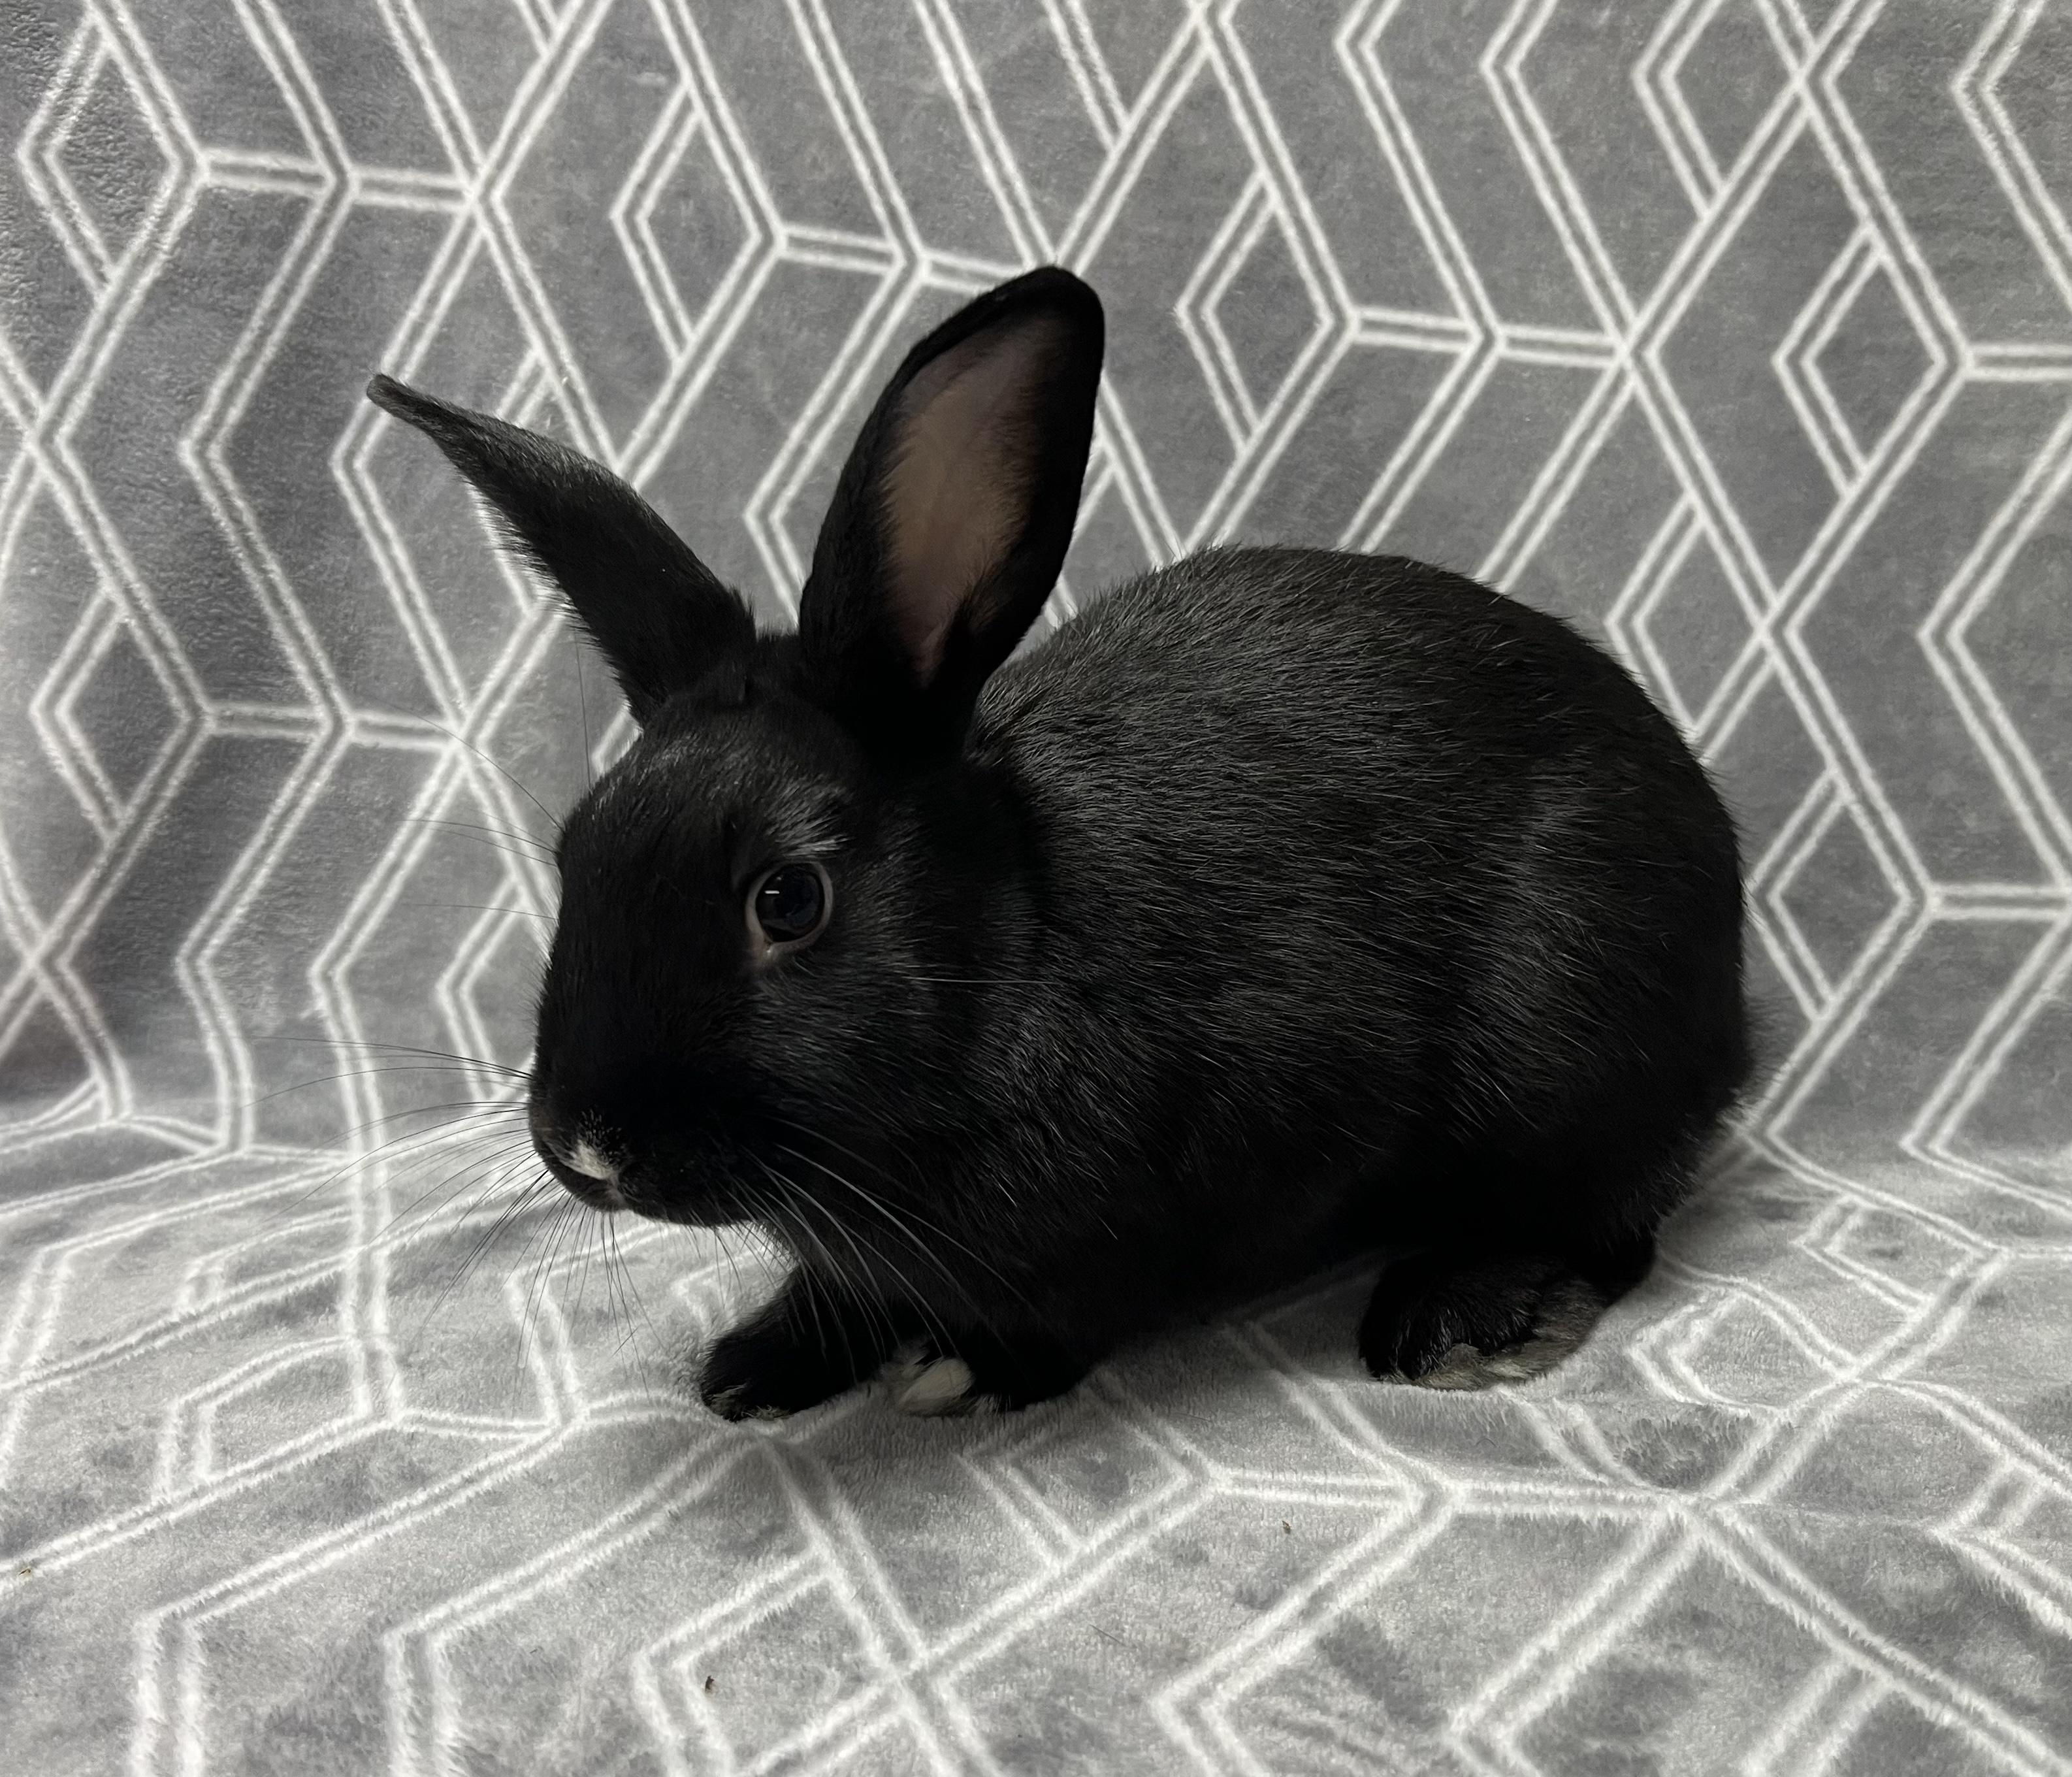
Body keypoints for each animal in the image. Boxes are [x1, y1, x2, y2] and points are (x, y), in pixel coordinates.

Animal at [367, 265, 1751, 1418]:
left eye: (789, 899)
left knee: (1608, 1216)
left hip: (1571, 1033)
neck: (1004, 964)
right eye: (574, 851)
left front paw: (967, 1369)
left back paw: (1459, 1321)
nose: (585, 1149)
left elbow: (1080, 1312)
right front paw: (755, 1368)